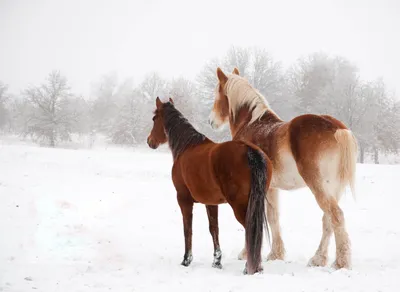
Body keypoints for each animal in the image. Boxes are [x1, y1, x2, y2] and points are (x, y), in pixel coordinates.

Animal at [148, 97, 274, 274]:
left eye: (154, 119)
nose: (150, 141)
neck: (187, 147)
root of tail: (250, 151)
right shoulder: (211, 203)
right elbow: (214, 229)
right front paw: (217, 261)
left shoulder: (183, 199)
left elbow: (188, 229)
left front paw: (186, 260)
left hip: (240, 206)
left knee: (251, 230)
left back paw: (250, 267)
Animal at [208, 66, 358, 270]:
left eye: (217, 94)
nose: (211, 121)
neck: (252, 124)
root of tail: (337, 128)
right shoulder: (271, 188)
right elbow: (273, 217)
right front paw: (276, 254)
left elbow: (252, 217)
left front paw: (246, 253)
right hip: (334, 189)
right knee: (327, 220)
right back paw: (318, 259)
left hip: (319, 186)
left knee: (336, 216)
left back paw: (340, 263)